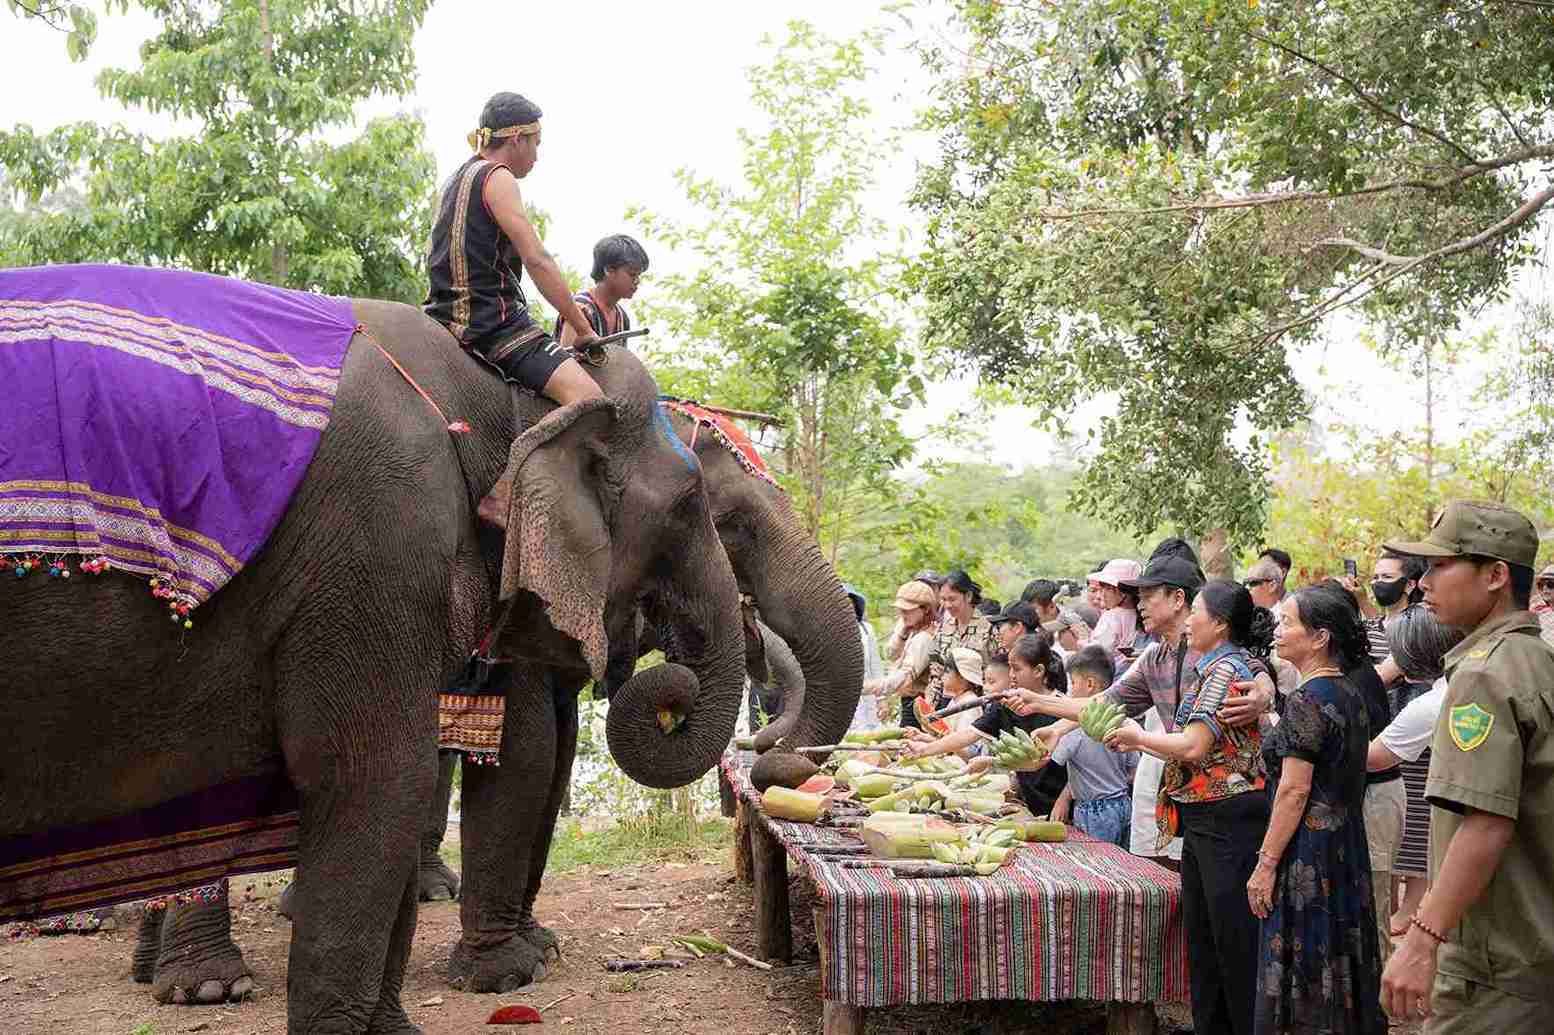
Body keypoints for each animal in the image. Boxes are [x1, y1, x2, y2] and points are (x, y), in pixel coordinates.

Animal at [2, 292, 746, 1033]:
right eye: (690, 503)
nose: (671, 686)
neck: (493, 385)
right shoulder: (382, 544)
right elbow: (397, 774)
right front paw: (510, 976)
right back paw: (206, 990)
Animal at [122, 397, 865, 1001]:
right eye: (727, 522)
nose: (763, 755)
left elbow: (555, 757)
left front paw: (537, 947)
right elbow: (529, 747)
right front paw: (505, 976)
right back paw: (210, 986)